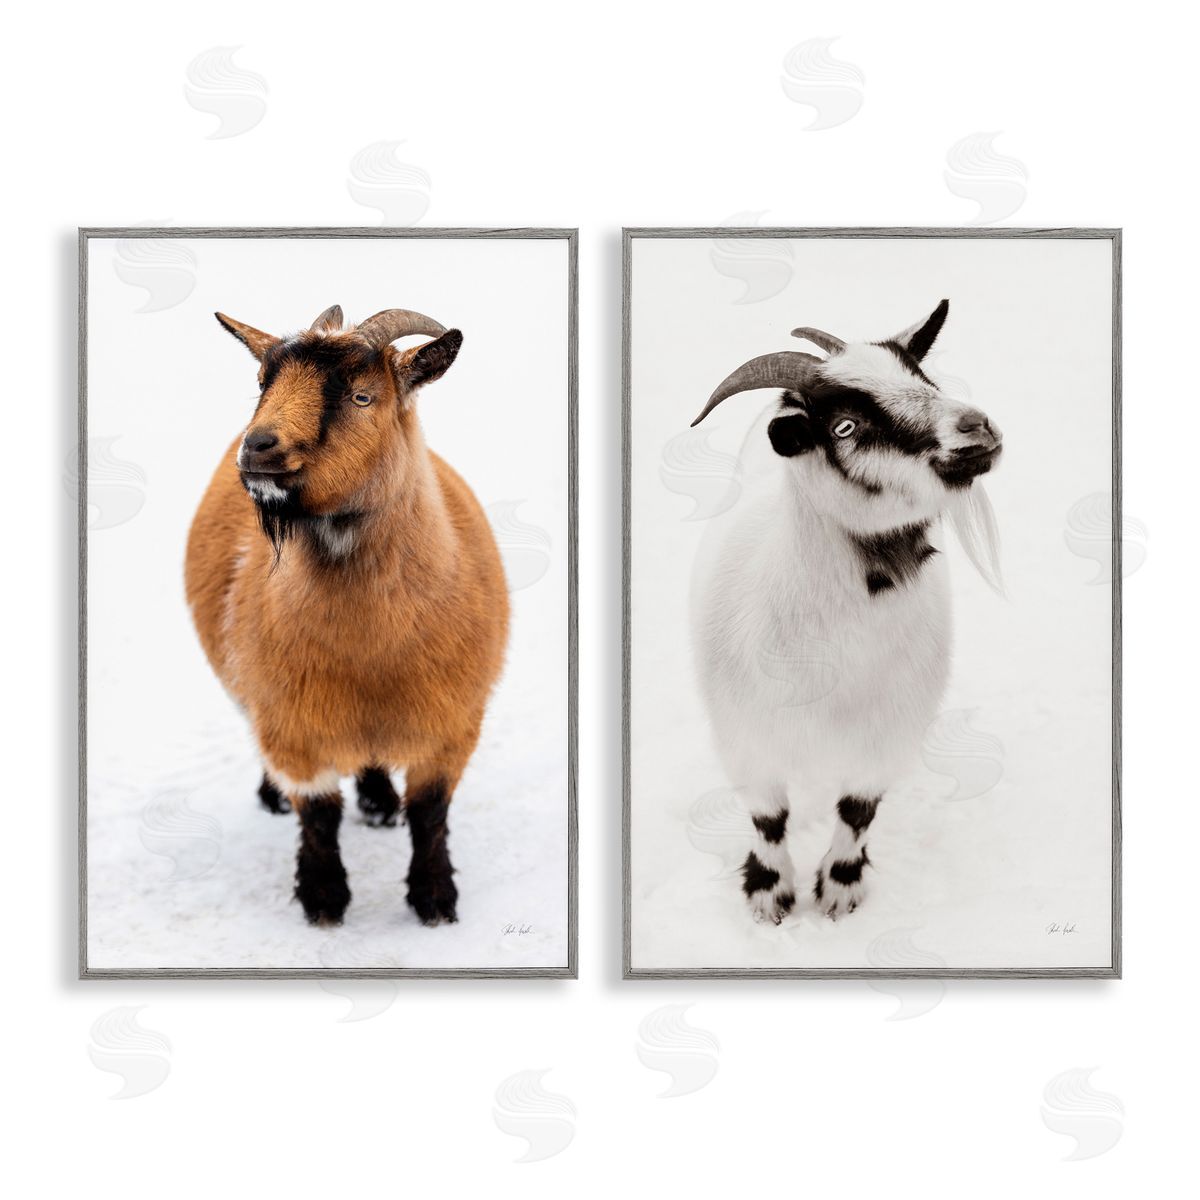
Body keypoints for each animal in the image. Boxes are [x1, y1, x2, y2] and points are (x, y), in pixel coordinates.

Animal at [185, 304, 509, 927]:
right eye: (262, 382)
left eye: (362, 396)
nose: (257, 447)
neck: (371, 653)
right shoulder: (292, 724)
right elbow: (319, 815)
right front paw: (323, 900)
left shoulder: (453, 723)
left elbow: (430, 813)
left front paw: (435, 901)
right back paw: (276, 798)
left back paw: (380, 801)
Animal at [689, 301, 1002, 923]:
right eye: (845, 427)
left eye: (923, 379)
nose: (976, 427)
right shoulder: (744, 738)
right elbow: (768, 818)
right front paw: (769, 895)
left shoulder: (887, 736)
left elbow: (857, 813)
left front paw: (839, 890)